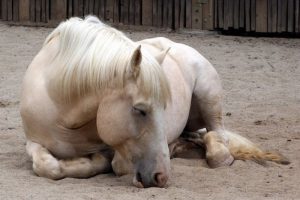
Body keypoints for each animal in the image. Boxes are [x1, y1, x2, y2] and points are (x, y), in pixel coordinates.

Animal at [19, 16, 290, 188]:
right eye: (140, 110)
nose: (162, 177)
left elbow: (113, 163)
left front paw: (90, 160)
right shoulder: (33, 141)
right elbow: (47, 166)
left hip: (209, 96)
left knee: (217, 138)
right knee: (198, 136)